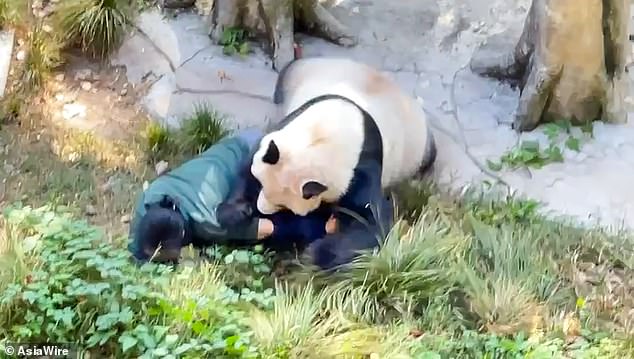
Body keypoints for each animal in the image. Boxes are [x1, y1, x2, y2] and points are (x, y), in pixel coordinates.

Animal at [249, 57, 436, 218]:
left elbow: (367, 212)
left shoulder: (362, 167)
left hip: (418, 145)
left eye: (283, 206)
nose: (261, 209)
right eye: (259, 183)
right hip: (309, 69)